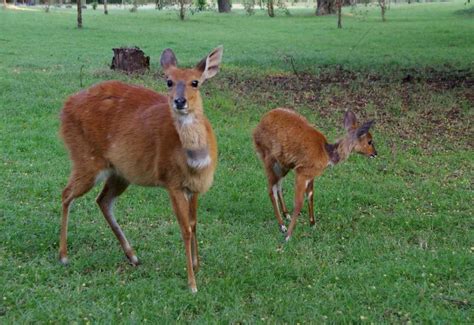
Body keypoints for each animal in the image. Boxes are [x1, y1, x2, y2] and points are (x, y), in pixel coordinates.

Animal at [58, 45, 224, 292]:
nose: (179, 101)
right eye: (168, 81)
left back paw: (133, 257)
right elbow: (184, 229)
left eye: (195, 82)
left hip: (120, 173)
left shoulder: (195, 188)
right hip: (86, 159)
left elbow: (194, 223)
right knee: (66, 193)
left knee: (102, 200)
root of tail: (65, 107)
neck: (196, 160)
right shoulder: (172, 183)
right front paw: (192, 284)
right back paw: (63, 256)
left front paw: (197, 265)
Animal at [254, 108, 376, 240]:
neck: (326, 152)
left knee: (278, 186)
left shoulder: (311, 175)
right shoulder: (302, 173)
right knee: (271, 190)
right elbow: (298, 202)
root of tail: (257, 128)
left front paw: (313, 224)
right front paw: (288, 236)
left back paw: (286, 215)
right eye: (370, 141)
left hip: (283, 165)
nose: (375, 153)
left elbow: (310, 195)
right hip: (270, 160)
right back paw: (282, 226)